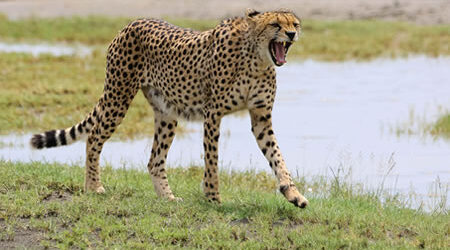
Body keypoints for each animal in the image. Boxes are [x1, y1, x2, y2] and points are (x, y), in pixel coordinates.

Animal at [30, 8, 310, 208]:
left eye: (294, 24)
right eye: (276, 25)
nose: (292, 34)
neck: (256, 59)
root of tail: (133, 22)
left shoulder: (261, 118)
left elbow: (277, 157)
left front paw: (293, 194)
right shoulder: (213, 114)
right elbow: (212, 159)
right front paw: (212, 197)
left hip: (167, 113)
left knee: (154, 160)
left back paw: (167, 197)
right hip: (118, 96)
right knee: (94, 136)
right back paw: (93, 186)